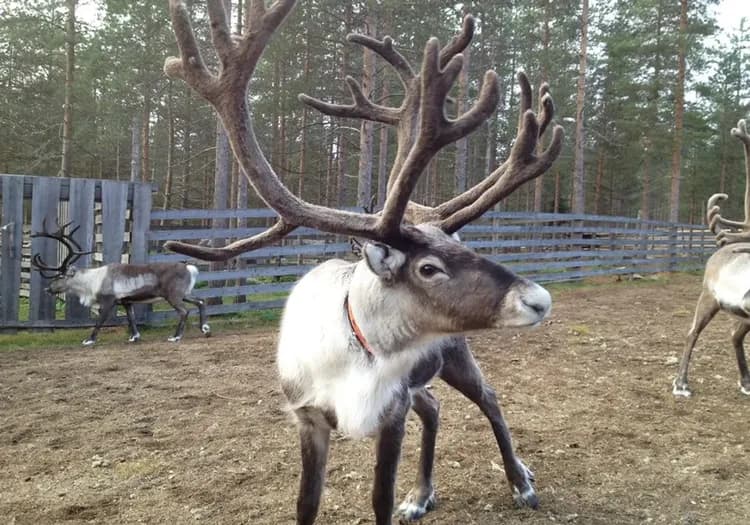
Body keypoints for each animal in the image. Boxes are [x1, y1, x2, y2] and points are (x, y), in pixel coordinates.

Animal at [31, 221, 210, 346]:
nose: (48, 288)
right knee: (201, 301)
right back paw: (205, 329)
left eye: (61, 276)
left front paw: (89, 340)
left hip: (173, 295)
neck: (91, 282)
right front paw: (134, 337)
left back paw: (176, 337)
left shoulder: (109, 300)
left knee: (184, 311)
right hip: (184, 293)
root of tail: (189, 267)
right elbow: (131, 319)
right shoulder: (126, 301)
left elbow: (100, 321)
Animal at [162, 1, 563, 523]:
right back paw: (422, 495)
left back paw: (520, 482)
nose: (538, 299)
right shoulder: (308, 416)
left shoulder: (391, 412)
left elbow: (380, 497)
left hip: (455, 354)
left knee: (490, 399)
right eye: (428, 267)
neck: (359, 358)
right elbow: (306, 502)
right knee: (434, 407)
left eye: (461, 247)